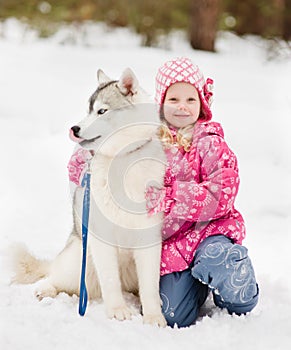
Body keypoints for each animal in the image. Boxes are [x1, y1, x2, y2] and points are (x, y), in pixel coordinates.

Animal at [11, 69, 168, 328]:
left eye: (102, 111)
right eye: (88, 110)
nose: (74, 128)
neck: (121, 158)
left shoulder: (149, 239)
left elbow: (150, 286)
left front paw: (154, 317)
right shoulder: (100, 237)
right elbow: (110, 281)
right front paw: (117, 311)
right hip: (79, 263)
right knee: (58, 278)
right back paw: (45, 290)